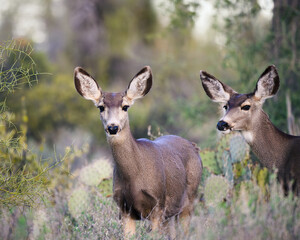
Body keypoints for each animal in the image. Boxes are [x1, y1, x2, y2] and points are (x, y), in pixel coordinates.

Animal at [74, 65, 203, 238]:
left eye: (125, 106)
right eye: (101, 107)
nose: (113, 127)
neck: (134, 176)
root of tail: (194, 146)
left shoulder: (158, 205)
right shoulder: (124, 208)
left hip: (189, 199)